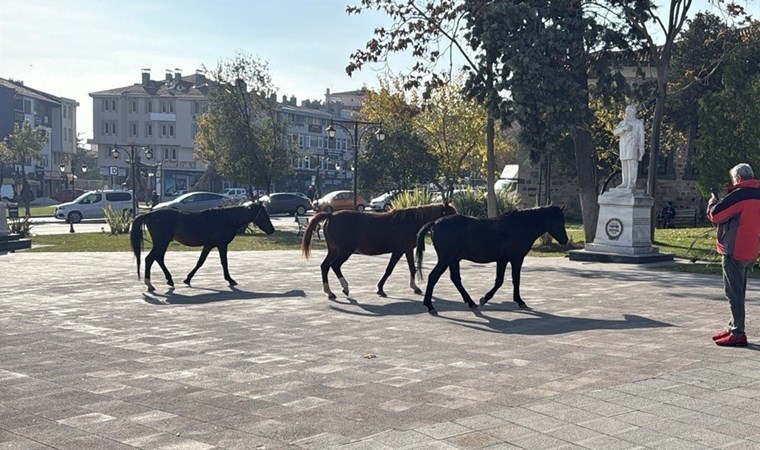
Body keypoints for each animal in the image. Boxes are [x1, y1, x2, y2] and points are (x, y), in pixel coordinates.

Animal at [131, 201, 276, 292]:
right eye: (264, 214)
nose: (272, 230)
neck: (226, 219)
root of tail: (149, 214)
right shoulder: (222, 245)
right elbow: (224, 262)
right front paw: (230, 280)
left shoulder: (209, 245)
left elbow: (200, 262)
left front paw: (188, 279)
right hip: (161, 242)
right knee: (150, 259)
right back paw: (150, 284)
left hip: (163, 243)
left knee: (158, 258)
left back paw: (169, 280)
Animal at [302, 204, 458, 298]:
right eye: (451, 213)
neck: (409, 221)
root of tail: (331, 215)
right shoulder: (398, 251)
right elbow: (389, 269)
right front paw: (380, 289)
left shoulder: (407, 250)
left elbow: (412, 268)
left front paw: (415, 287)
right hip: (344, 251)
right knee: (335, 265)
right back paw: (345, 288)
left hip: (334, 250)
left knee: (325, 266)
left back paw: (329, 292)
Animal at [416, 206, 568, 314]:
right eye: (559, 221)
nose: (565, 240)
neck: (519, 225)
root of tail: (435, 223)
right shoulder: (515, 259)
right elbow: (513, 280)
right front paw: (518, 301)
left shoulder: (502, 260)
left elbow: (500, 280)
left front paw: (484, 299)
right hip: (446, 259)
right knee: (433, 277)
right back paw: (430, 306)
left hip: (453, 260)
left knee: (455, 279)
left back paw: (471, 302)